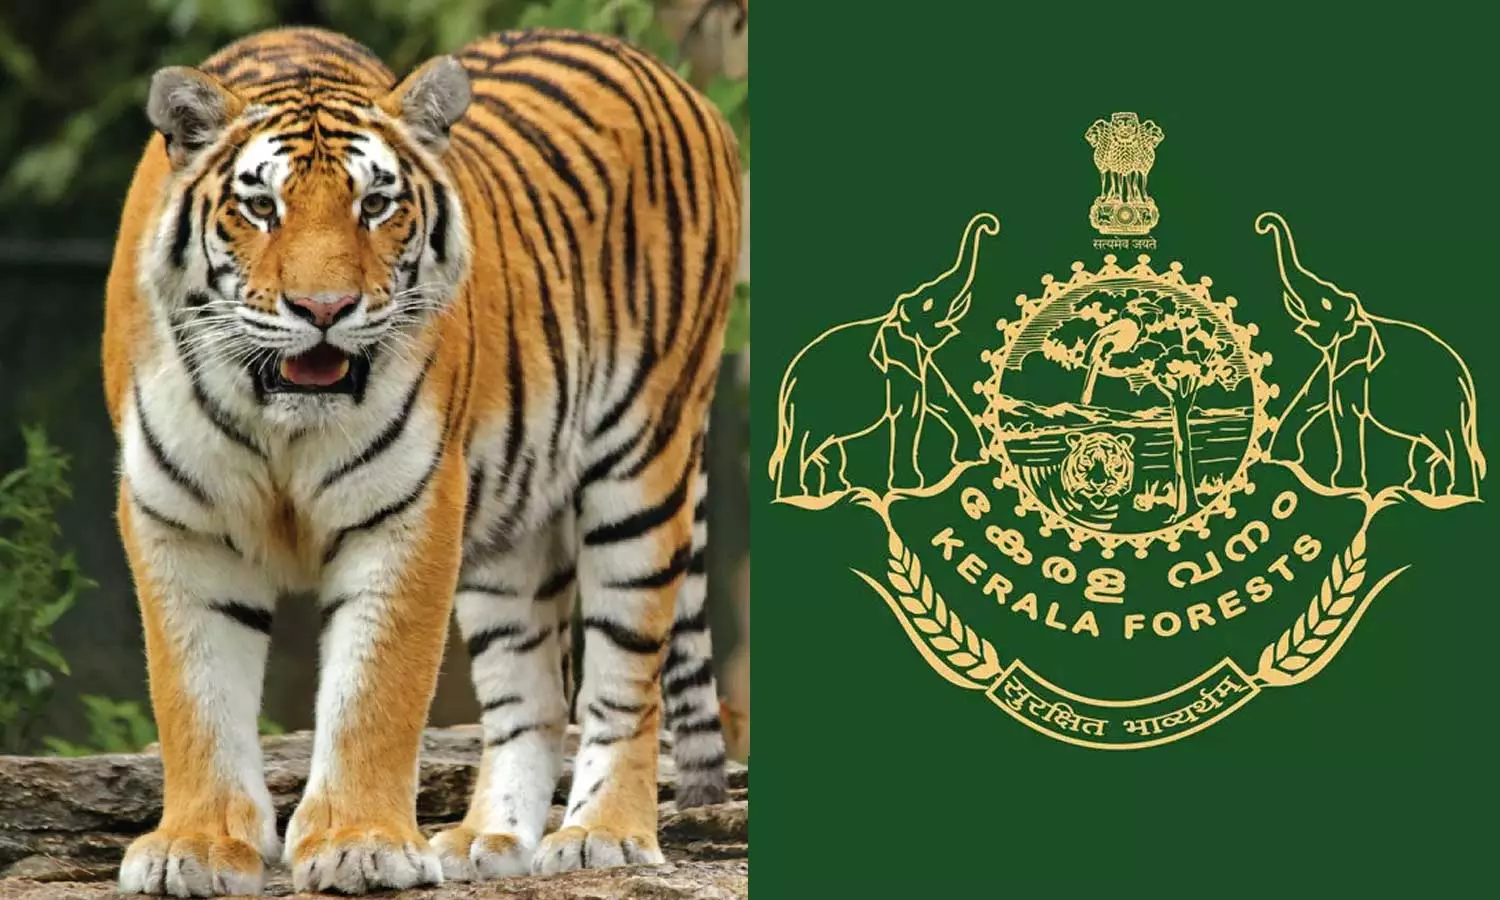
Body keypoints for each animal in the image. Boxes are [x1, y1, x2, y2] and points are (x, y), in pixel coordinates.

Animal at [102, 25, 740, 897]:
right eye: (261, 206)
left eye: (375, 204)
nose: (325, 310)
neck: (280, 422)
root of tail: (672, 79)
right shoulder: (177, 519)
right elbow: (193, 694)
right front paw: (195, 848)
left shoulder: (408, 509)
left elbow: (376, 690)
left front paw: (358, 844)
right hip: (510, 532)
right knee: (533, 694)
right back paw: (487, 840)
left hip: (643, 466)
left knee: (623, 681)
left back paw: (602, 834)